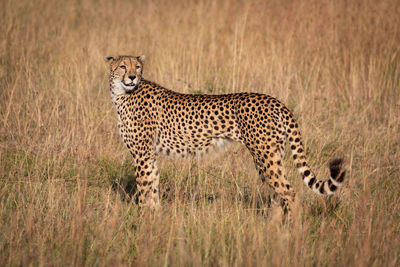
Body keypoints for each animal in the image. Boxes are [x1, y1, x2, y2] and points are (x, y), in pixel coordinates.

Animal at [104, 55, 346, 216]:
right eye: (123, 66)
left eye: (137, 67)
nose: (132, 77)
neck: (122, 94)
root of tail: (275, 100)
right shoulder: (150, 155)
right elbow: (152, 186)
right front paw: (154, 217)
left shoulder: (142, 155)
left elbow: (144, 188)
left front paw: (143, 220)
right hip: (272, 156)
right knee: (279, 194)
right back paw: (273, 228)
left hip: (265, 155)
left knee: (290, 193)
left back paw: (292, 235)